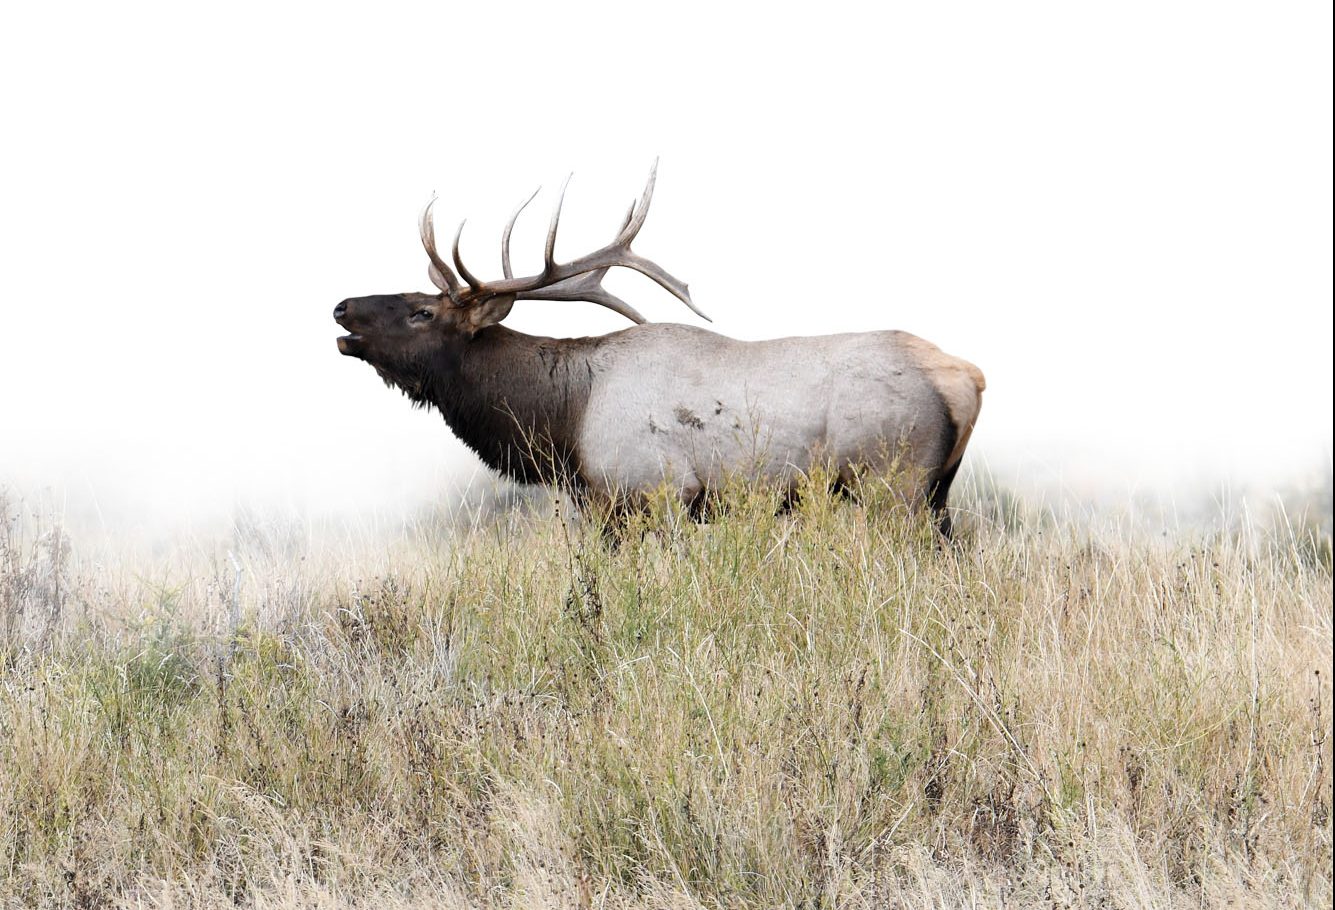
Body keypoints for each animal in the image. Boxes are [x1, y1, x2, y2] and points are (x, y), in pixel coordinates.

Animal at [333, 164, 982, 531]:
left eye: (423, 311)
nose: (341, 308)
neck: (564, 422)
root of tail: (967, 378)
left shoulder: (658, 492)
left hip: (893, 483)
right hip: (936, 495)